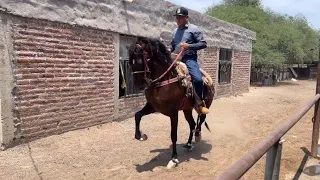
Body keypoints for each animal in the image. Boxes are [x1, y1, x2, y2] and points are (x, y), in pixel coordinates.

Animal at [127, 37, 215, 169]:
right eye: (130, 62)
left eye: (139, 60)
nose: (139, 85)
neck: (162, 81)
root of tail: (208, 79)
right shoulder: (153, 107)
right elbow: (137, 115)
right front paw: (140, 136)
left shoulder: (173, 113)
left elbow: (173, 135)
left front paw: (173, 159)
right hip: (187, 109)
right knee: (192, 124)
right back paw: (189, 144)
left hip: (206, 104)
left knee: (201, 119)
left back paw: (197, 136)